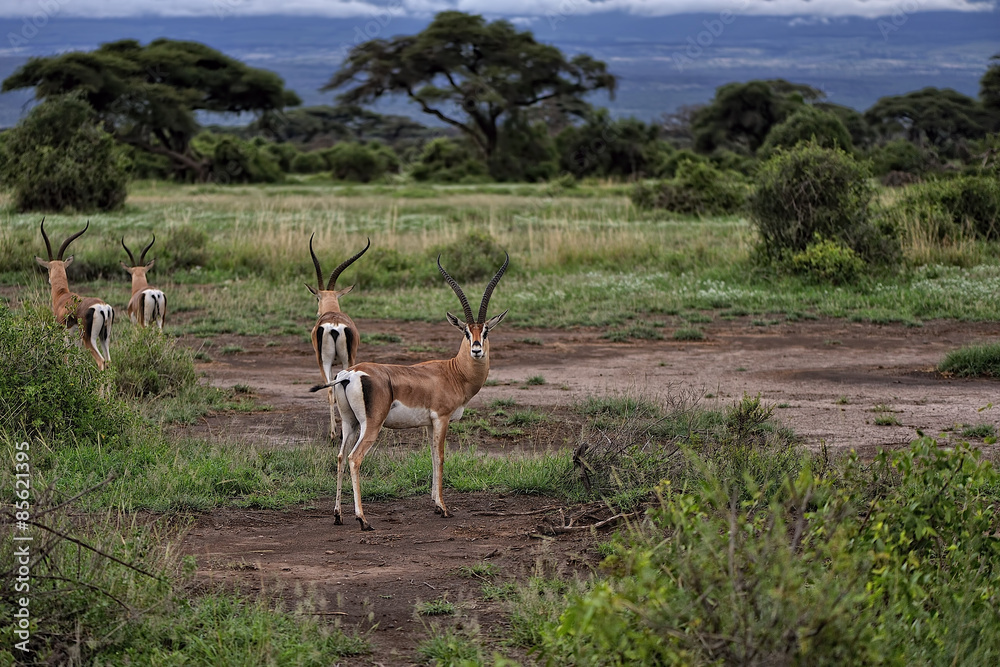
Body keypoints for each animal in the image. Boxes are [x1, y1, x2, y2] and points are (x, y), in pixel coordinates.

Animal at [35, 220, 114, 370]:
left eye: (48, 268)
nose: (49, 280)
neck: (62, 295)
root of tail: (102, 307)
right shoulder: (76, 335)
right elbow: (76, 356)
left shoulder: (65, 330)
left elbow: (66, 354)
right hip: (104, 338)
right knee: (109, 362)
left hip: (89, 339)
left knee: (101, 361)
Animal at [307, 235, 371, 439]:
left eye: (316, 298)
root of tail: (334, 326)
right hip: (342, 360)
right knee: (333, 387)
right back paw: (338, 432)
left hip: (326, 361)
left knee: (330, 389)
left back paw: (335, 433)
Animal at [312, 253, 509, 531]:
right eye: (466, 331)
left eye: (486, 330)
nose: (477, 349)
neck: (453, 373)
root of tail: (349, 374)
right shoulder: (442, 418)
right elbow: (441, 457)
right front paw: (444, 508)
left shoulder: (428, 424)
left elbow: (431, 456)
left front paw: (435, 504)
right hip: (371, 426)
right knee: (354, 458)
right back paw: (363, 519)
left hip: (350, 423)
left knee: (340, 456)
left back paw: (338, 515)